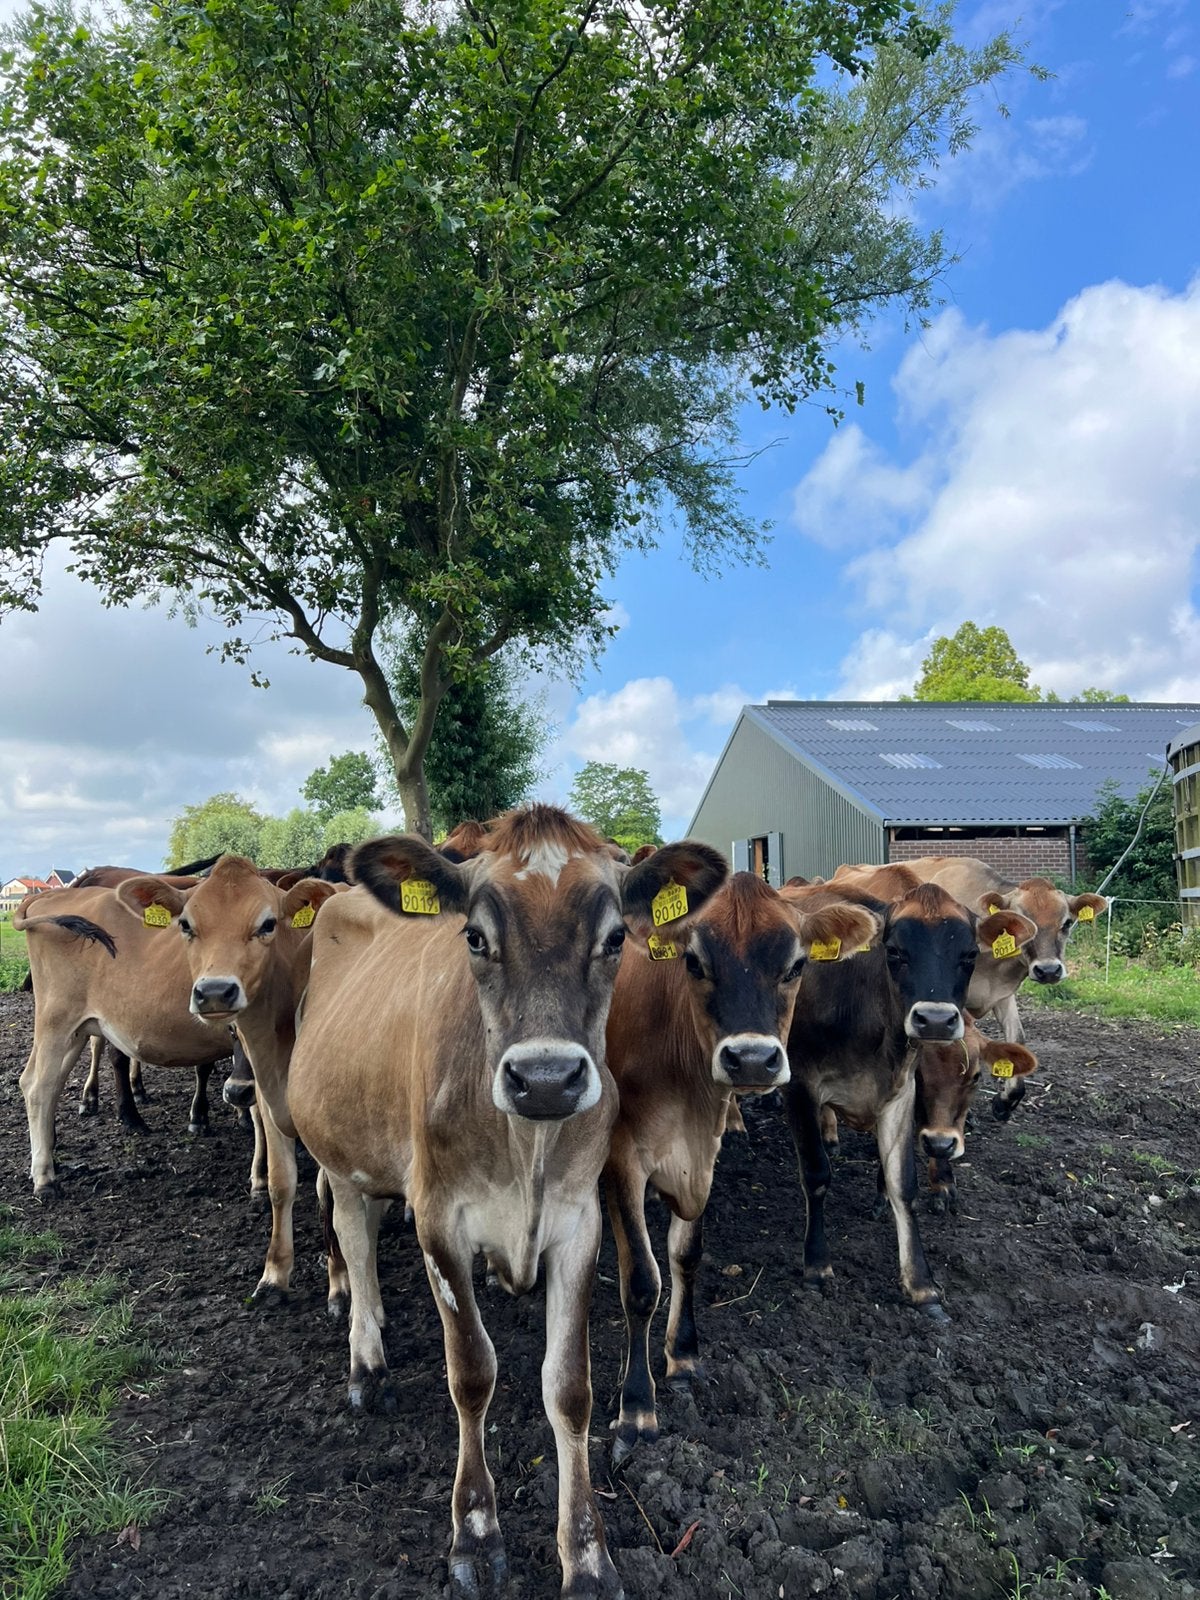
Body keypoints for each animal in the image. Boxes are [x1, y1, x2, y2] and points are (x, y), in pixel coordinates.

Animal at [111, 857, 340, 1300]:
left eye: (267, 924)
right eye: (186, 925)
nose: (215, 991)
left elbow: (329, 1196)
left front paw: (339, 1284)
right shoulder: (268, 1100)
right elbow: (282, 1183)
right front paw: (274, 1274)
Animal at [285, 805, 728, 1599]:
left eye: (616, 939)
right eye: (473, 937)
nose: (546, 1078)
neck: (527, 1148)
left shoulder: (580, 1224)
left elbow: (570, 1388)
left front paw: (586, 1554)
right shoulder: (439, 1223)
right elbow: (472, 1373)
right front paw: (475, 1530)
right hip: (337, 1152)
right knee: (354, 1242)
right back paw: (366, 1362)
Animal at [603, 870, 880, 1462]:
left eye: (796, 966)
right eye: (693, 962)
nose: (751, 1059)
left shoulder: (701, 1153)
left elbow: (687, 1255)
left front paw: (683, 1353)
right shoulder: (619, 1155)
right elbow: (640, 1280)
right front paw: (637, 1406)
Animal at [780, 876, 1036, 1317]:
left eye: (970, 954)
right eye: (895, 951)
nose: (935, 1019)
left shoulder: (898, 1095)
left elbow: (904, 1184)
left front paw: (921, 1284)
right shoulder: (800, 1086)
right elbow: (815, 1174)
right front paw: (816, 1266)